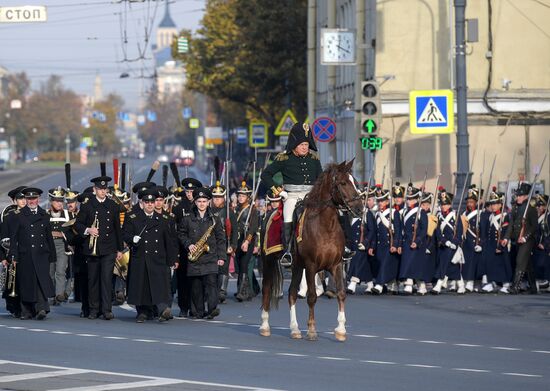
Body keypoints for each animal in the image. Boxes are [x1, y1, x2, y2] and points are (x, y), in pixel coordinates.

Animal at [260, 161, 364, 342]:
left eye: (355, 182)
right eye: (343, 183)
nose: (359, 209)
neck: (326, 226)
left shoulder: (336, 265)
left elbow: (341, 293)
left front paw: (341, 329)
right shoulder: (311, 266)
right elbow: (312, 296)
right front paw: (312, 330)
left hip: (296, 266)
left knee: (292, 293)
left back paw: (294, 329)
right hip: (268, 262)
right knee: (266, 289)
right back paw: (265, 326)